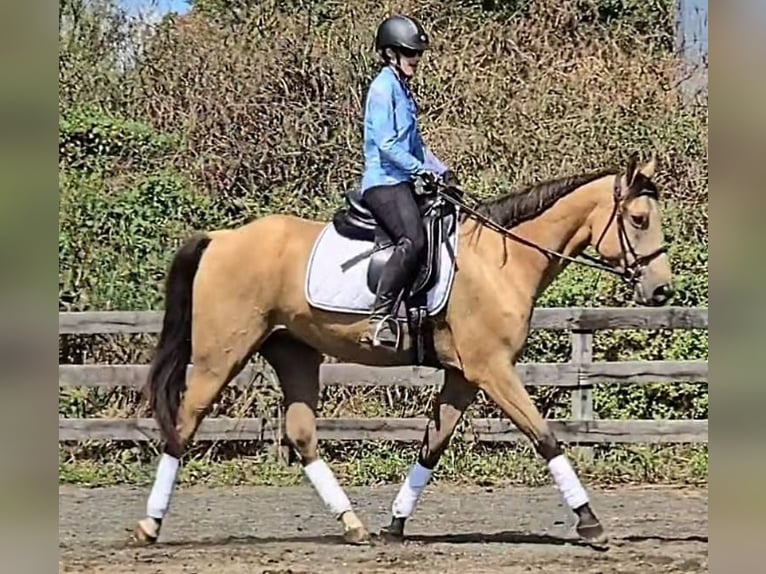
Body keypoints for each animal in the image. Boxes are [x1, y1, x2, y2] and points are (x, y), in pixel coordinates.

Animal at [131, 152, 673, 549]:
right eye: (639, 218)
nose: (662, 291)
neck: (500, 261)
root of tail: (220, 238)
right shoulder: (492, 369)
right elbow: (545, 437)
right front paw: (591, 524)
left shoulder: (464, 375)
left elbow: (433, 444)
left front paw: (395, 525)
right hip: (220, 356)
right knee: (184, 425)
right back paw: (149, 527)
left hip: (294, 352)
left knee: (301, 435)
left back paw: (354, 526)